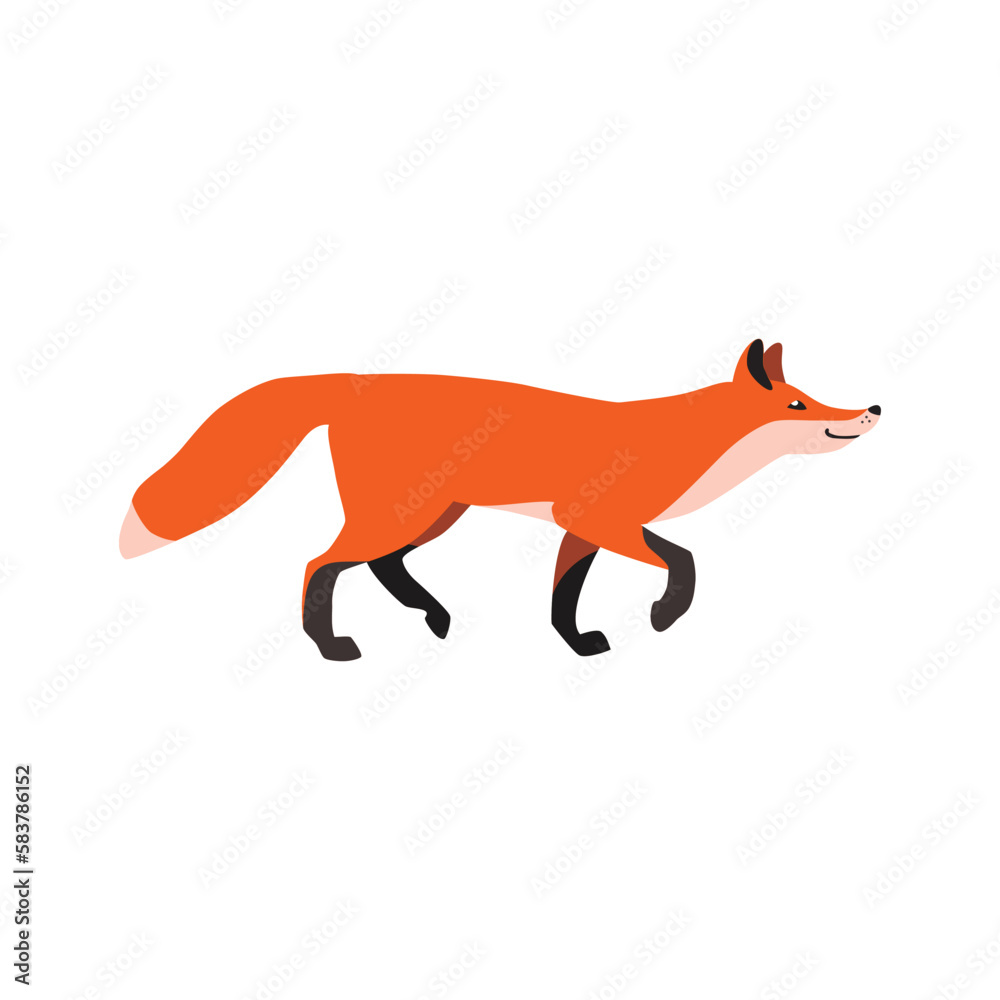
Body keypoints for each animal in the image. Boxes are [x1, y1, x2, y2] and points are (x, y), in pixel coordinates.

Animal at [120, 339, 880, 660]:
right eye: (795, 403)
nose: (871, 407)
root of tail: (358, 379)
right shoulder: (601, 518)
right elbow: (685, 562)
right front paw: (663, 616)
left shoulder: (581, 530)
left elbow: (565, 595)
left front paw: (578, 645)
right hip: (403, 514)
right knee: (321, 564)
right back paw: (333, 647)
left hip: (431, 516)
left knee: (383, 566)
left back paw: (432, 617)